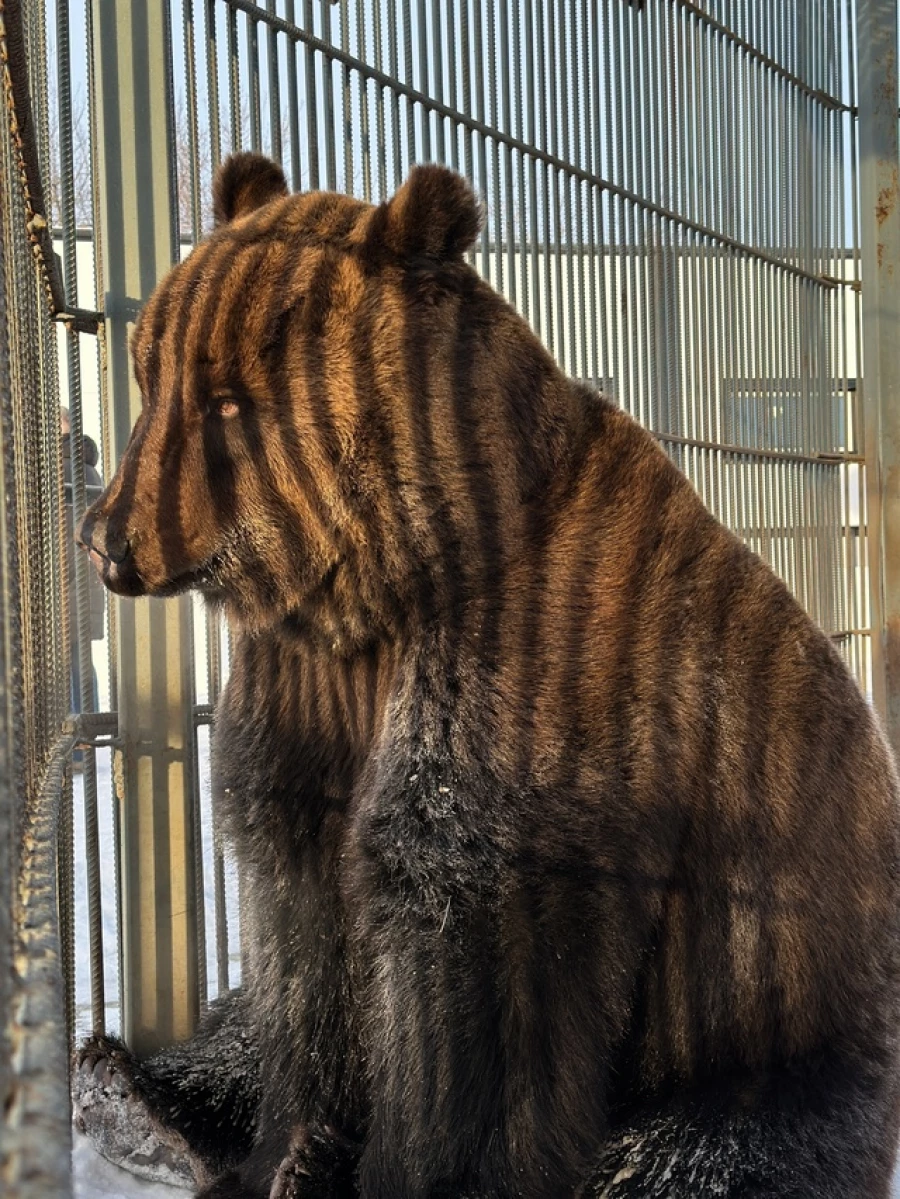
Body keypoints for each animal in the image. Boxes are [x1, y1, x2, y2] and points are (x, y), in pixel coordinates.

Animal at [74, 154, 900, 1194]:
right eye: (152, 372)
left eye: (228, 399)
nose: (108, 540)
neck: (383, 584)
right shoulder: (306, 698)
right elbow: (299, 932)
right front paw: (281, 1145)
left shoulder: (527, 684)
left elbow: (477, 965)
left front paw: (410, 1167)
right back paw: (134, 1088)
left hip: (776, 998)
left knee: (702, 1150)